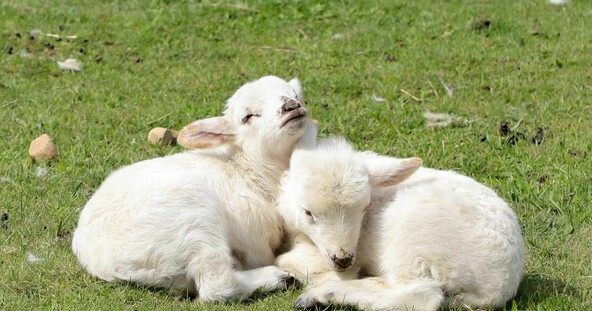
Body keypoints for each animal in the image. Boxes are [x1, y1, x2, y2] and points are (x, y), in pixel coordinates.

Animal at [71, 75, 310, 302]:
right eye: (248, 116)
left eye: (295, 95)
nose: (291, 106)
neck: (248, 169)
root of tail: (106, 264)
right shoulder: (254, 239)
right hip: (194, 220)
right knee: (218, 285)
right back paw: (278, 277)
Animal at [278, 135, 528, 311]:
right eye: (308, 212)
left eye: (364, 207)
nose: (343, 259)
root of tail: (499, 287)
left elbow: (288, 260)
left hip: (413, 241)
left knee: (423, 296)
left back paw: (321, 294)